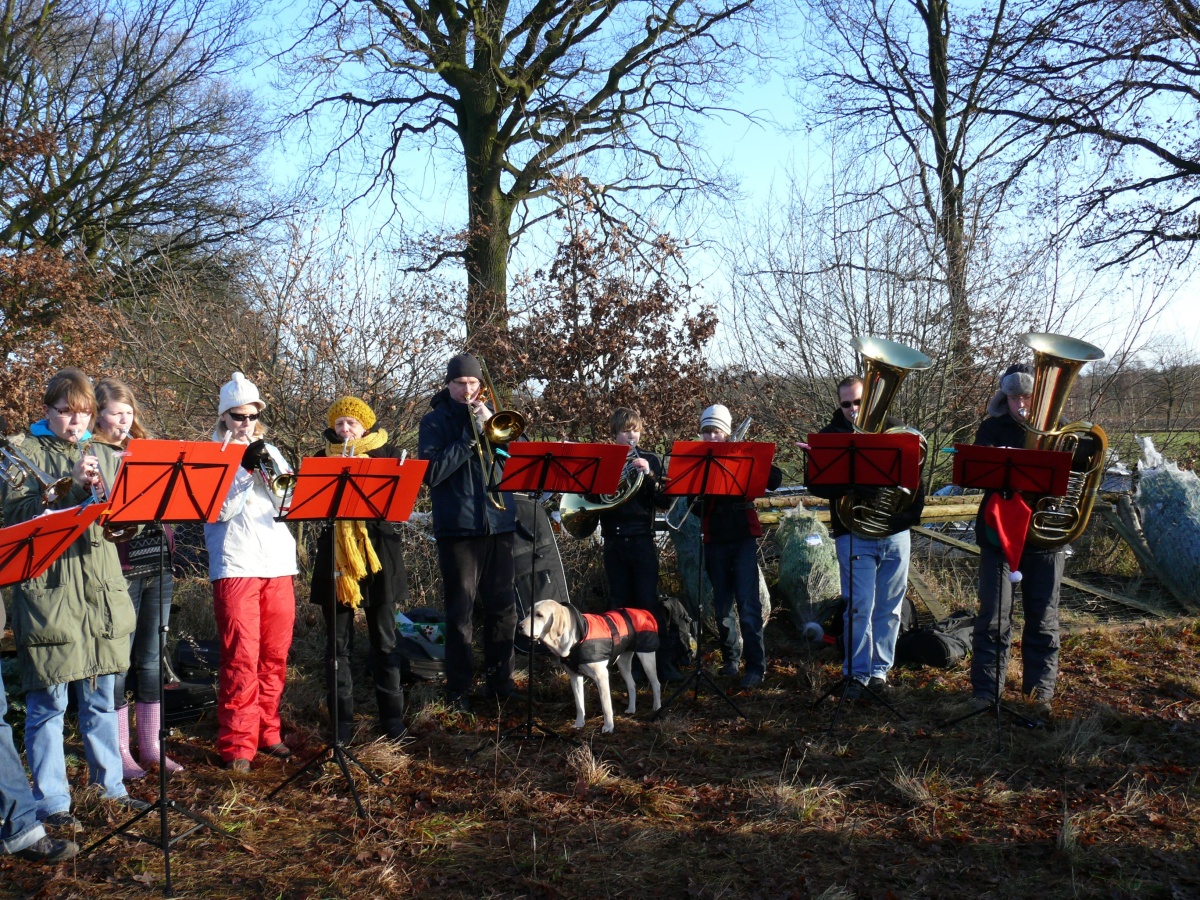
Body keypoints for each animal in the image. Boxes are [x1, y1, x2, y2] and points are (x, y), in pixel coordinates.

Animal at [518, 600, 662, 734]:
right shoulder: (575, 677)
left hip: (647, 658)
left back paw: (657, 708)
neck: (575, 640)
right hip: (623, 663)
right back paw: (631, 709)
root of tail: (644, 612)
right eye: (528, 612)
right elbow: (579, 704)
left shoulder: (601, 676)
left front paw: (608, 727)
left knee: (656, 684)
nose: (519, 626)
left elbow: (606, 707)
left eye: (539, 615)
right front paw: (579, 724)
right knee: (631, 684)